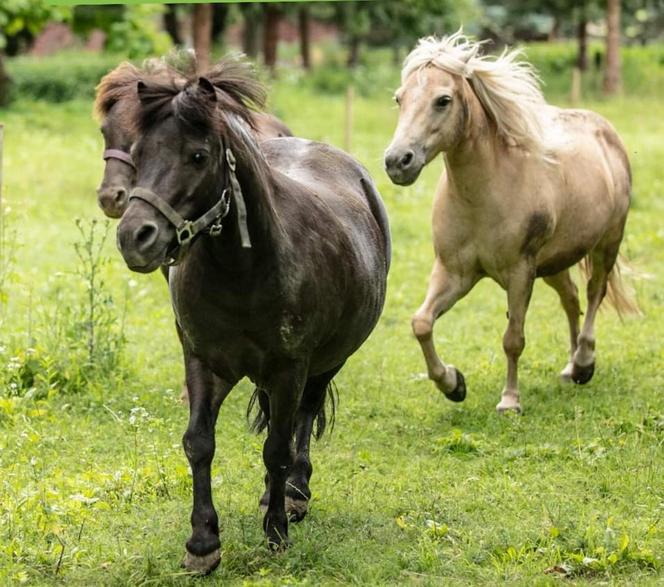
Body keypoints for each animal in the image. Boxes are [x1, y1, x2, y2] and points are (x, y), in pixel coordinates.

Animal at [110, 59, 390, 576]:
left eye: (198, 156)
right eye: (138, 153)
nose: (135, 237)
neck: (243, 270)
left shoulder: (290, 368)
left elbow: (277, 447)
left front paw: (276, 531)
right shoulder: (202, 361)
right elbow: (199, 443)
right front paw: (202, 543)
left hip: (327, 362)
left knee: (305, 416)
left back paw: (294, 493)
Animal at [384, 32, 640, 416]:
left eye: (443, 100)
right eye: (399, 98)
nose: (397, 161)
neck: (484, 195)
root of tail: (605, 131)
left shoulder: (520, 272)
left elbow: (513, 339)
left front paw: (509, 401)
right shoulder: (454, 272)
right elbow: (421, 323)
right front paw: (453, 384)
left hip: (606, 243)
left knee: (595, 292)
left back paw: (583, 363)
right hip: (554, 263)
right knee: (571, 298)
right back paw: (570, 368)